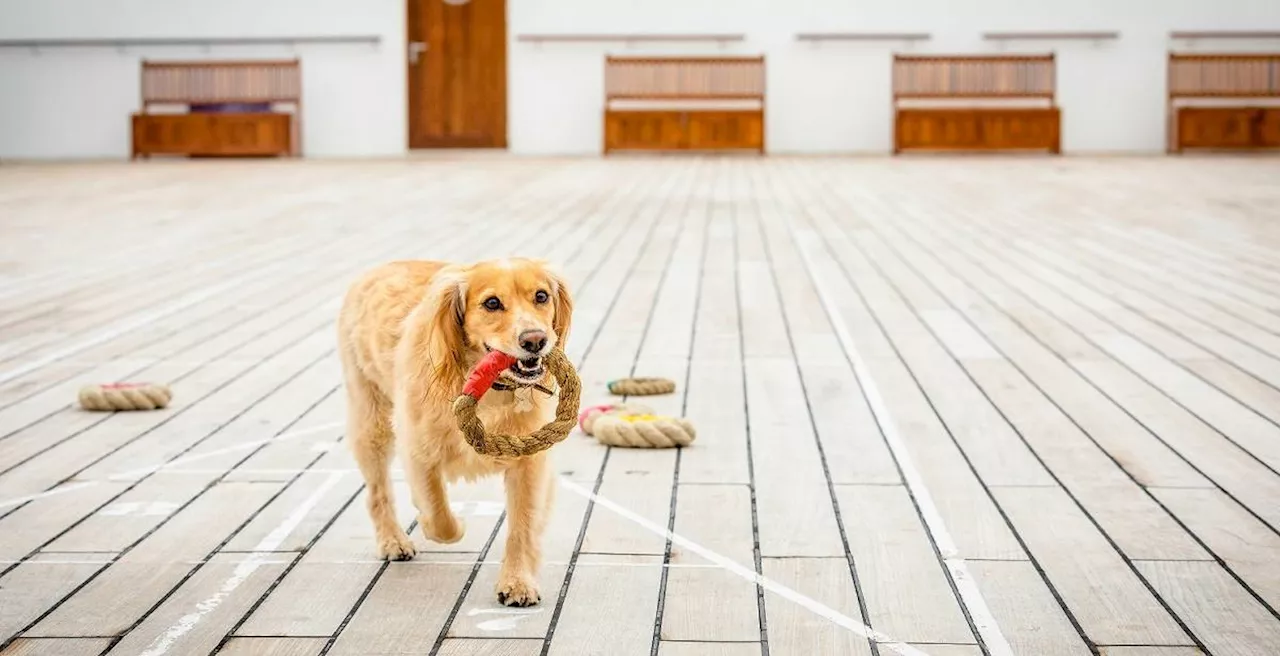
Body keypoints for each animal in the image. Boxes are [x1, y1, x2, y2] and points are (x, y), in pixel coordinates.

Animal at [335, 258, 570, 607]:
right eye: (491, 303)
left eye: (541, 296)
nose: (535, 340)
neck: (491, 389)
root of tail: (378, 268)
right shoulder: (418, 451)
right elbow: (438, 516)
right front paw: (452, 524)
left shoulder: (530, 463)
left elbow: (522, 526)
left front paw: (517, 582)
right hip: (371, 423)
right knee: (378, 493)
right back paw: (392, 540)